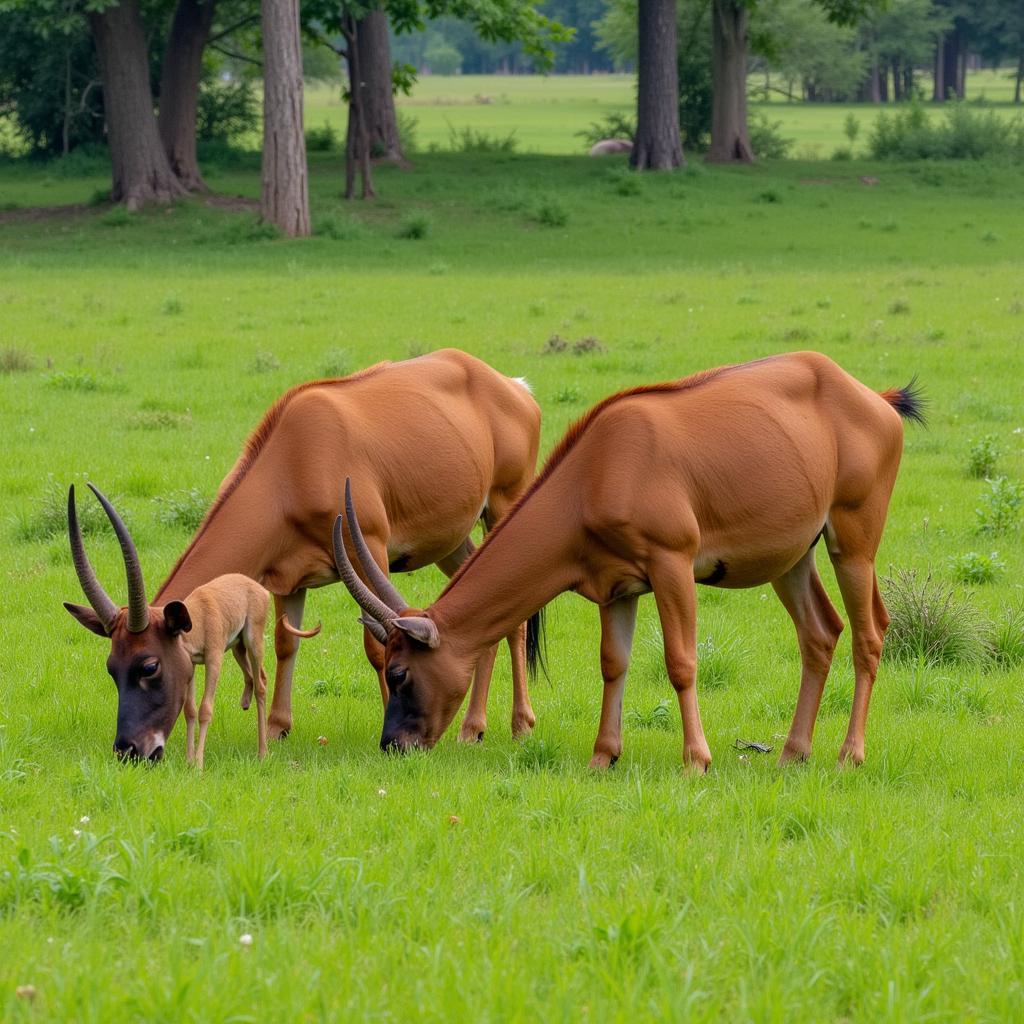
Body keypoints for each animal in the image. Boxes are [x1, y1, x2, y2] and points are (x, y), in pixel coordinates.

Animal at [64, 348, 544, 757]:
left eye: (149, 666)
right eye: (112, 667)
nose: (131, 749)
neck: (294, 459)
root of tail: (514, 388)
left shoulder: (369, 549)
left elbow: (376, 645)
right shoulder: (288, 580)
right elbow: (285, 644)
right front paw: (278, 728)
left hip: (504, 504)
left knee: (516, 619)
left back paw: (510, 724)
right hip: (455, 543)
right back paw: (474, 727)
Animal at [339, 352, 925, 770]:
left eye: (399, 671)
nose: (394, 744)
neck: (601, 464)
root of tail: (874, 400)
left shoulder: (672, 565)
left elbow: (680, 661)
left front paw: (696, 760)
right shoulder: (617, 589)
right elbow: (612, 663)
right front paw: (604, 755)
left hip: (852, 543)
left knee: (870, 634)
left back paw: (849, 756)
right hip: (794, 559)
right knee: (820, 633)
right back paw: (791, 754)